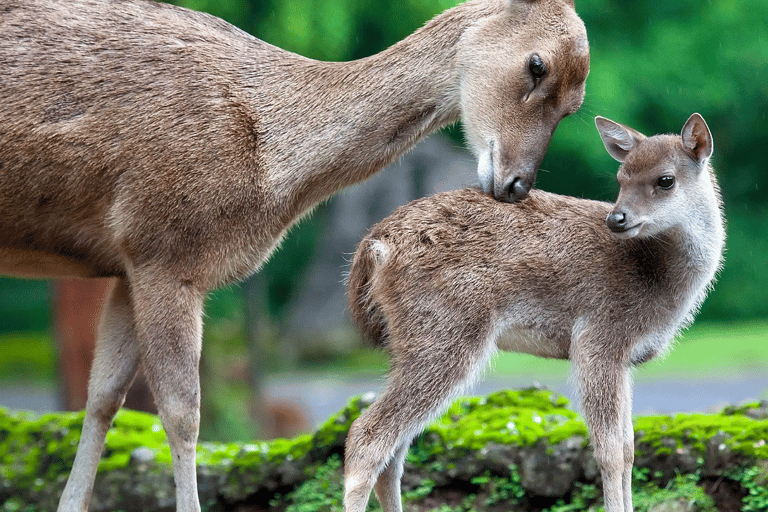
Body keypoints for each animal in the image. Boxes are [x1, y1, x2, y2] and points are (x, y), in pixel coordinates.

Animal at [0, 0, 589, 510]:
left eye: (577, 103)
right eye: (537, 64)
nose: (516, 184)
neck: (270, 155)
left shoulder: (128, 262)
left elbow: (102, 398)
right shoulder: (165, 248)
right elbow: (183, 411)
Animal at [345, 113, 725, 512]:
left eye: (665, 180)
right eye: (621, 178)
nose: (617, 218)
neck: (658, 282)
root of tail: (375, 245)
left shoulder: (623, 359)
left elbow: (629, 449)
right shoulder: (598, 336)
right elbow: (610, 452)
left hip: (415, 339)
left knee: (394, 449)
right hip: (444, 330)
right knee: (367, 435)